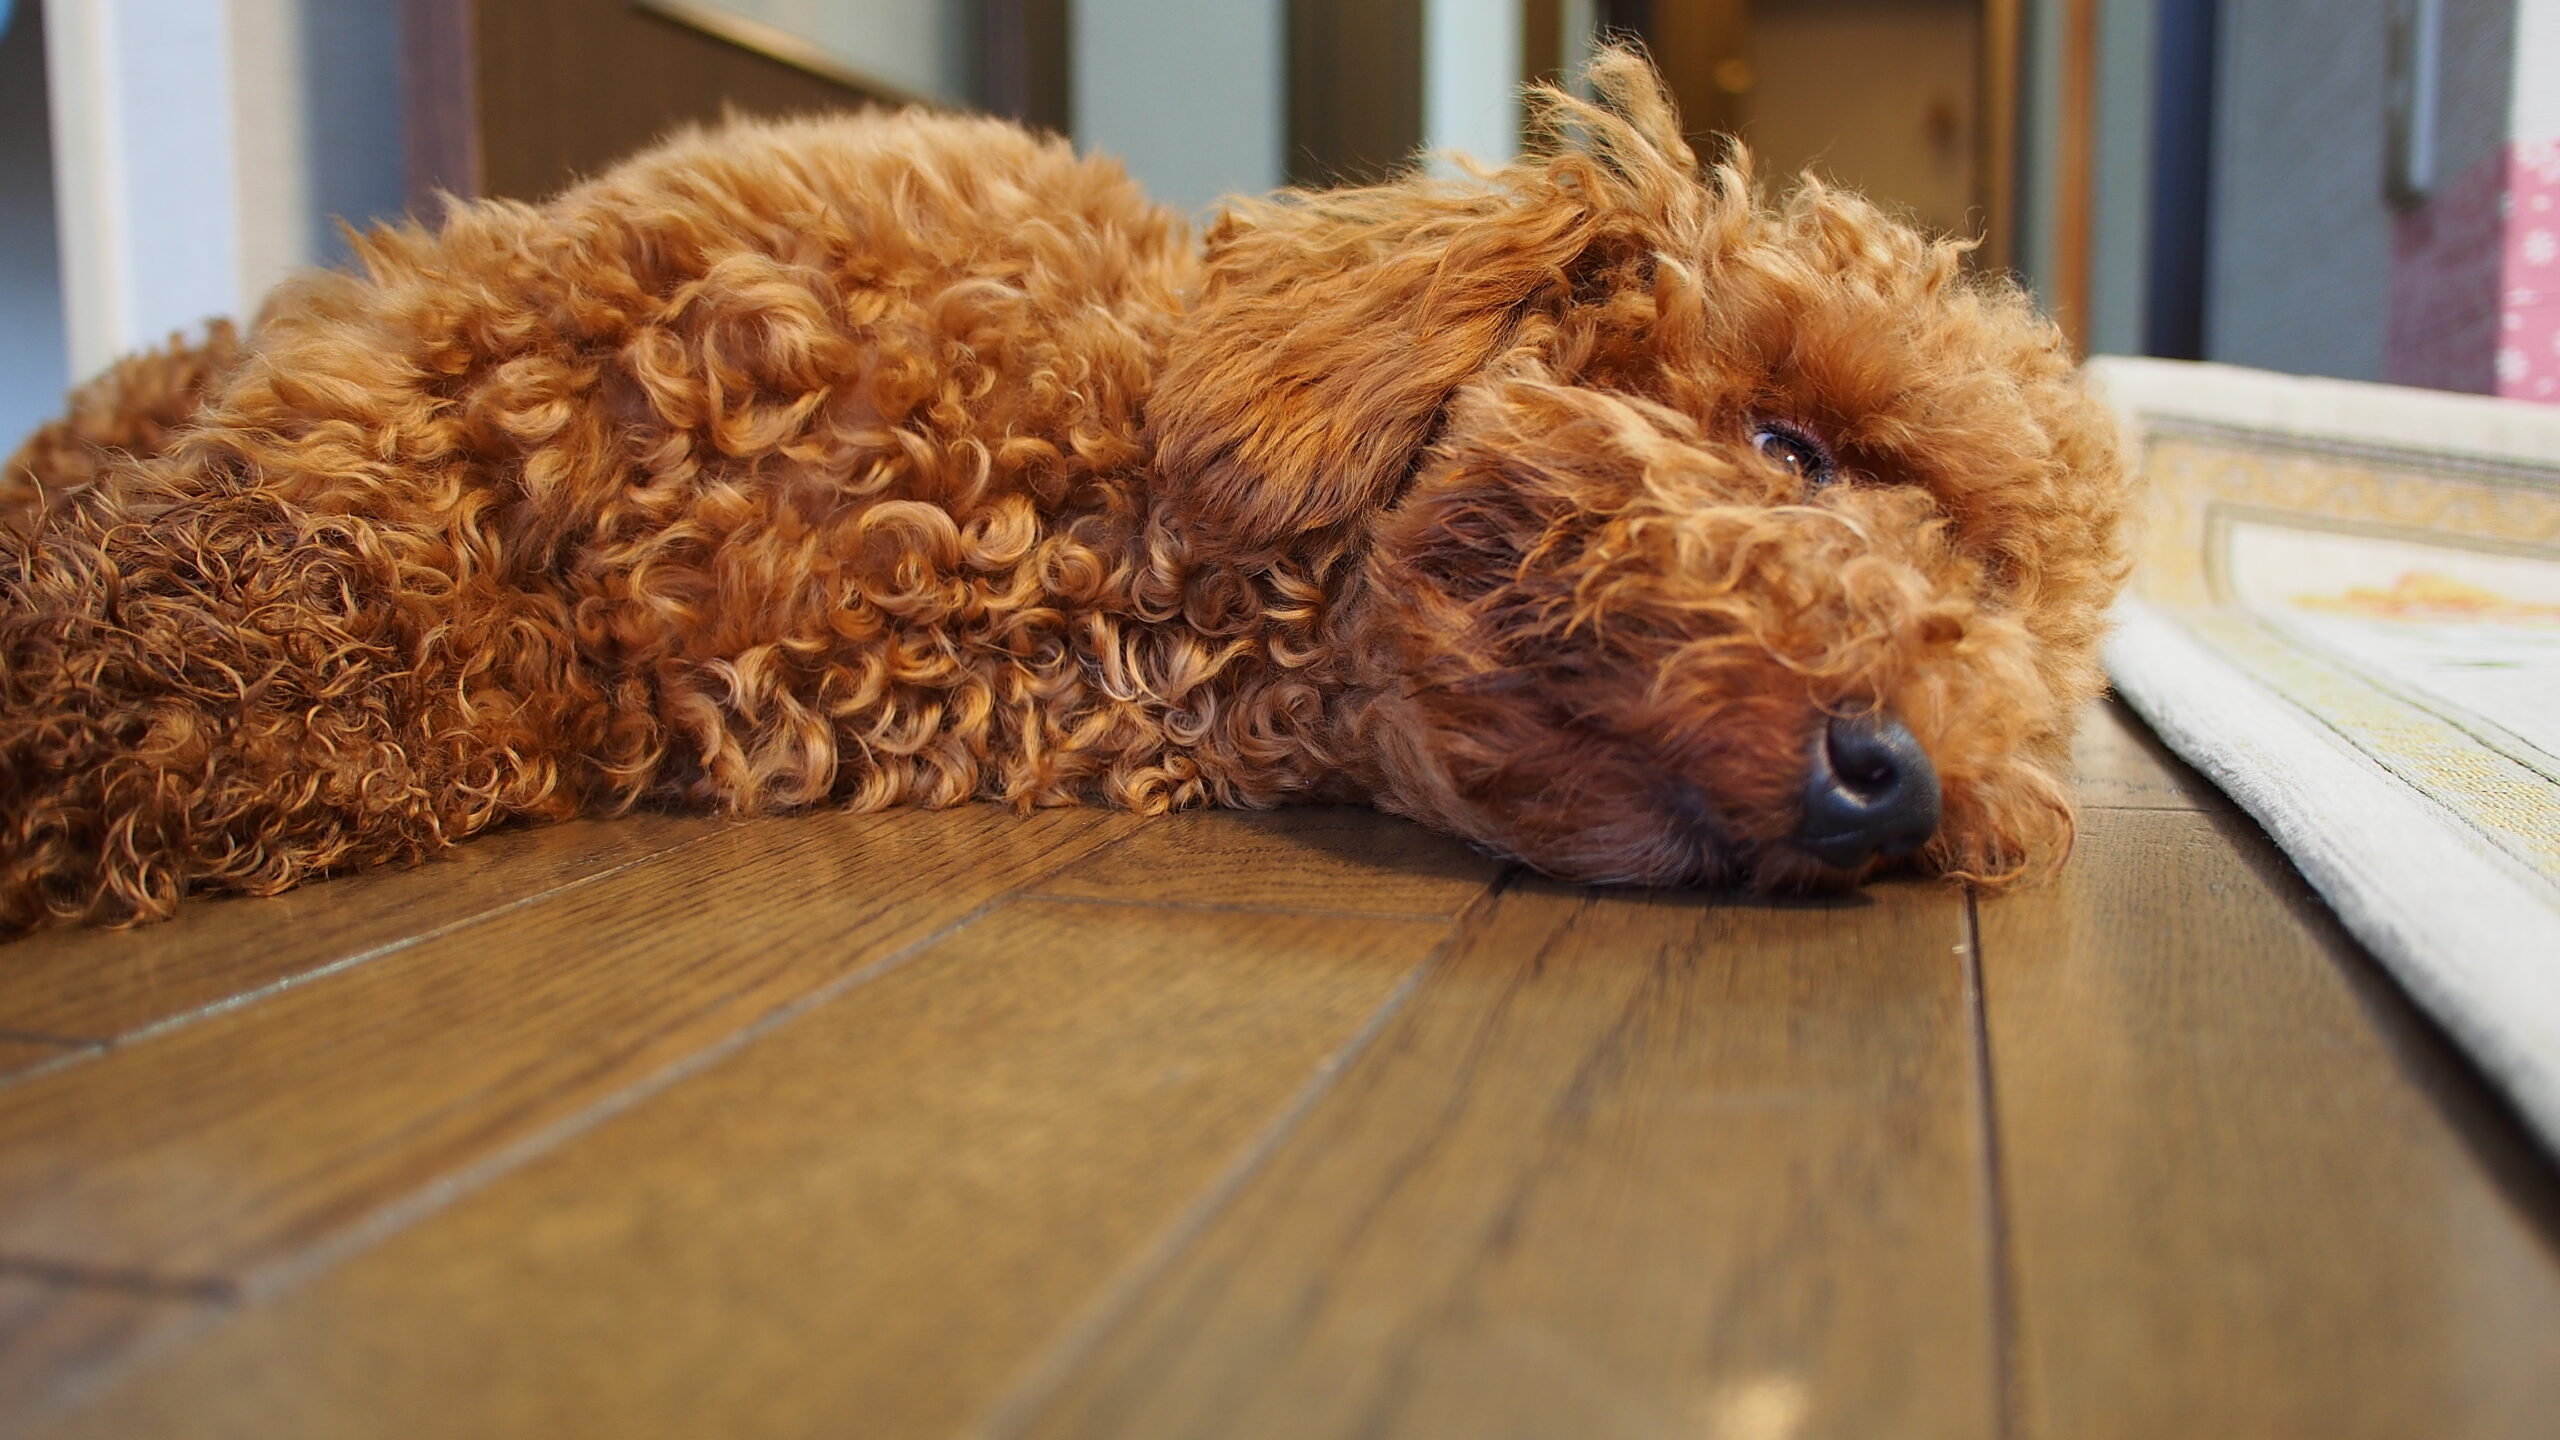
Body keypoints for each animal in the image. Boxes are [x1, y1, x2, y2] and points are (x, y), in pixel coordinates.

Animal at [0, 50, 2119, 932]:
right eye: (1792, 447)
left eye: (2024, 644)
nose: (1901, 783)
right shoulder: (441, 365)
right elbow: (193, 586)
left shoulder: (536, 693)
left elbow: (243, 694)